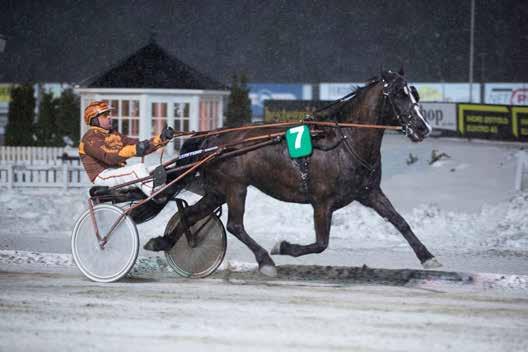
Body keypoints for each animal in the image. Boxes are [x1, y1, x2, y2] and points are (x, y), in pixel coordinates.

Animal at [144, 69, 442, 276]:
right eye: (400, 95)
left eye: (415, 94)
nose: (423, 128)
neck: (344, 142)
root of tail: (212, 138)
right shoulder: (322, 202)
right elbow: (321, 243)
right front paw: (283, 247)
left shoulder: (369, 192)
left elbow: (400, 221)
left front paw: (428, 256)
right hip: (235, 187)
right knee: (235, 225)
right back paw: (265, 260)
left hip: (217, 191)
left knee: (191, 215)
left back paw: (165, 242)